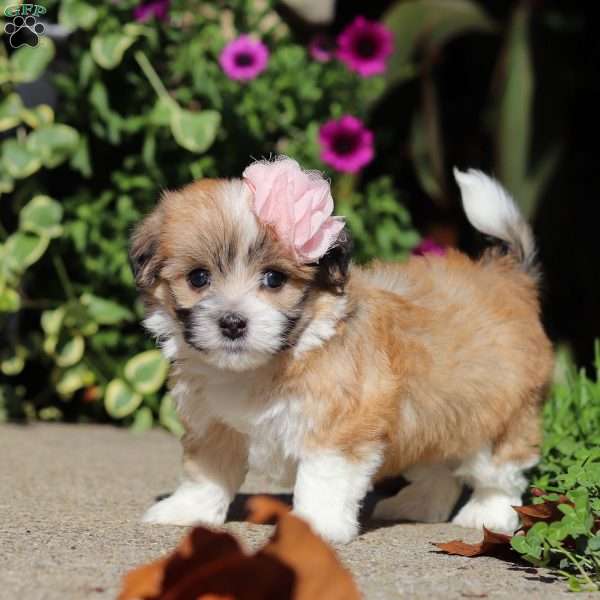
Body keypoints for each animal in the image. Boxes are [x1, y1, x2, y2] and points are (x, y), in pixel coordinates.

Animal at [131, 156, 552, 544]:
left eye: (274, 279)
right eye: (198, 278)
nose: (233, 323)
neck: (272, 361)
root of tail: (508, 278)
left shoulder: (340, 424)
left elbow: (322, 479)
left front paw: (313, 527)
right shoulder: (214, 423)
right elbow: (207, 472)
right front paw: (186, 510)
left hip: (498, 411)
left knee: (500, 470)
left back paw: (488, 513)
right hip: (432, 415)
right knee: (439, 468)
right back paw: (417, 505)